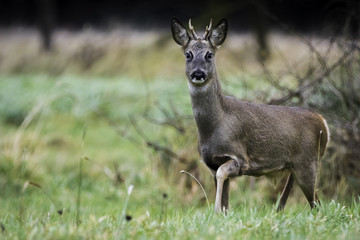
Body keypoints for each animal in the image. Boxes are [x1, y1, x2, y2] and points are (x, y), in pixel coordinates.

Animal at [170, 17, 330, 213]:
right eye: (188, 55)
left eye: (209, 55)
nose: (198, 74)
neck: (215, 125)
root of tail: (323, 123)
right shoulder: (211, 163)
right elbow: (225, 197)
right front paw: (221, 211)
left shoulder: (240, 157)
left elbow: (223, 175)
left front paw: (215, 210)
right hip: (297, 167)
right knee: (298, 199)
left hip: (309, 162)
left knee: (317, 204)